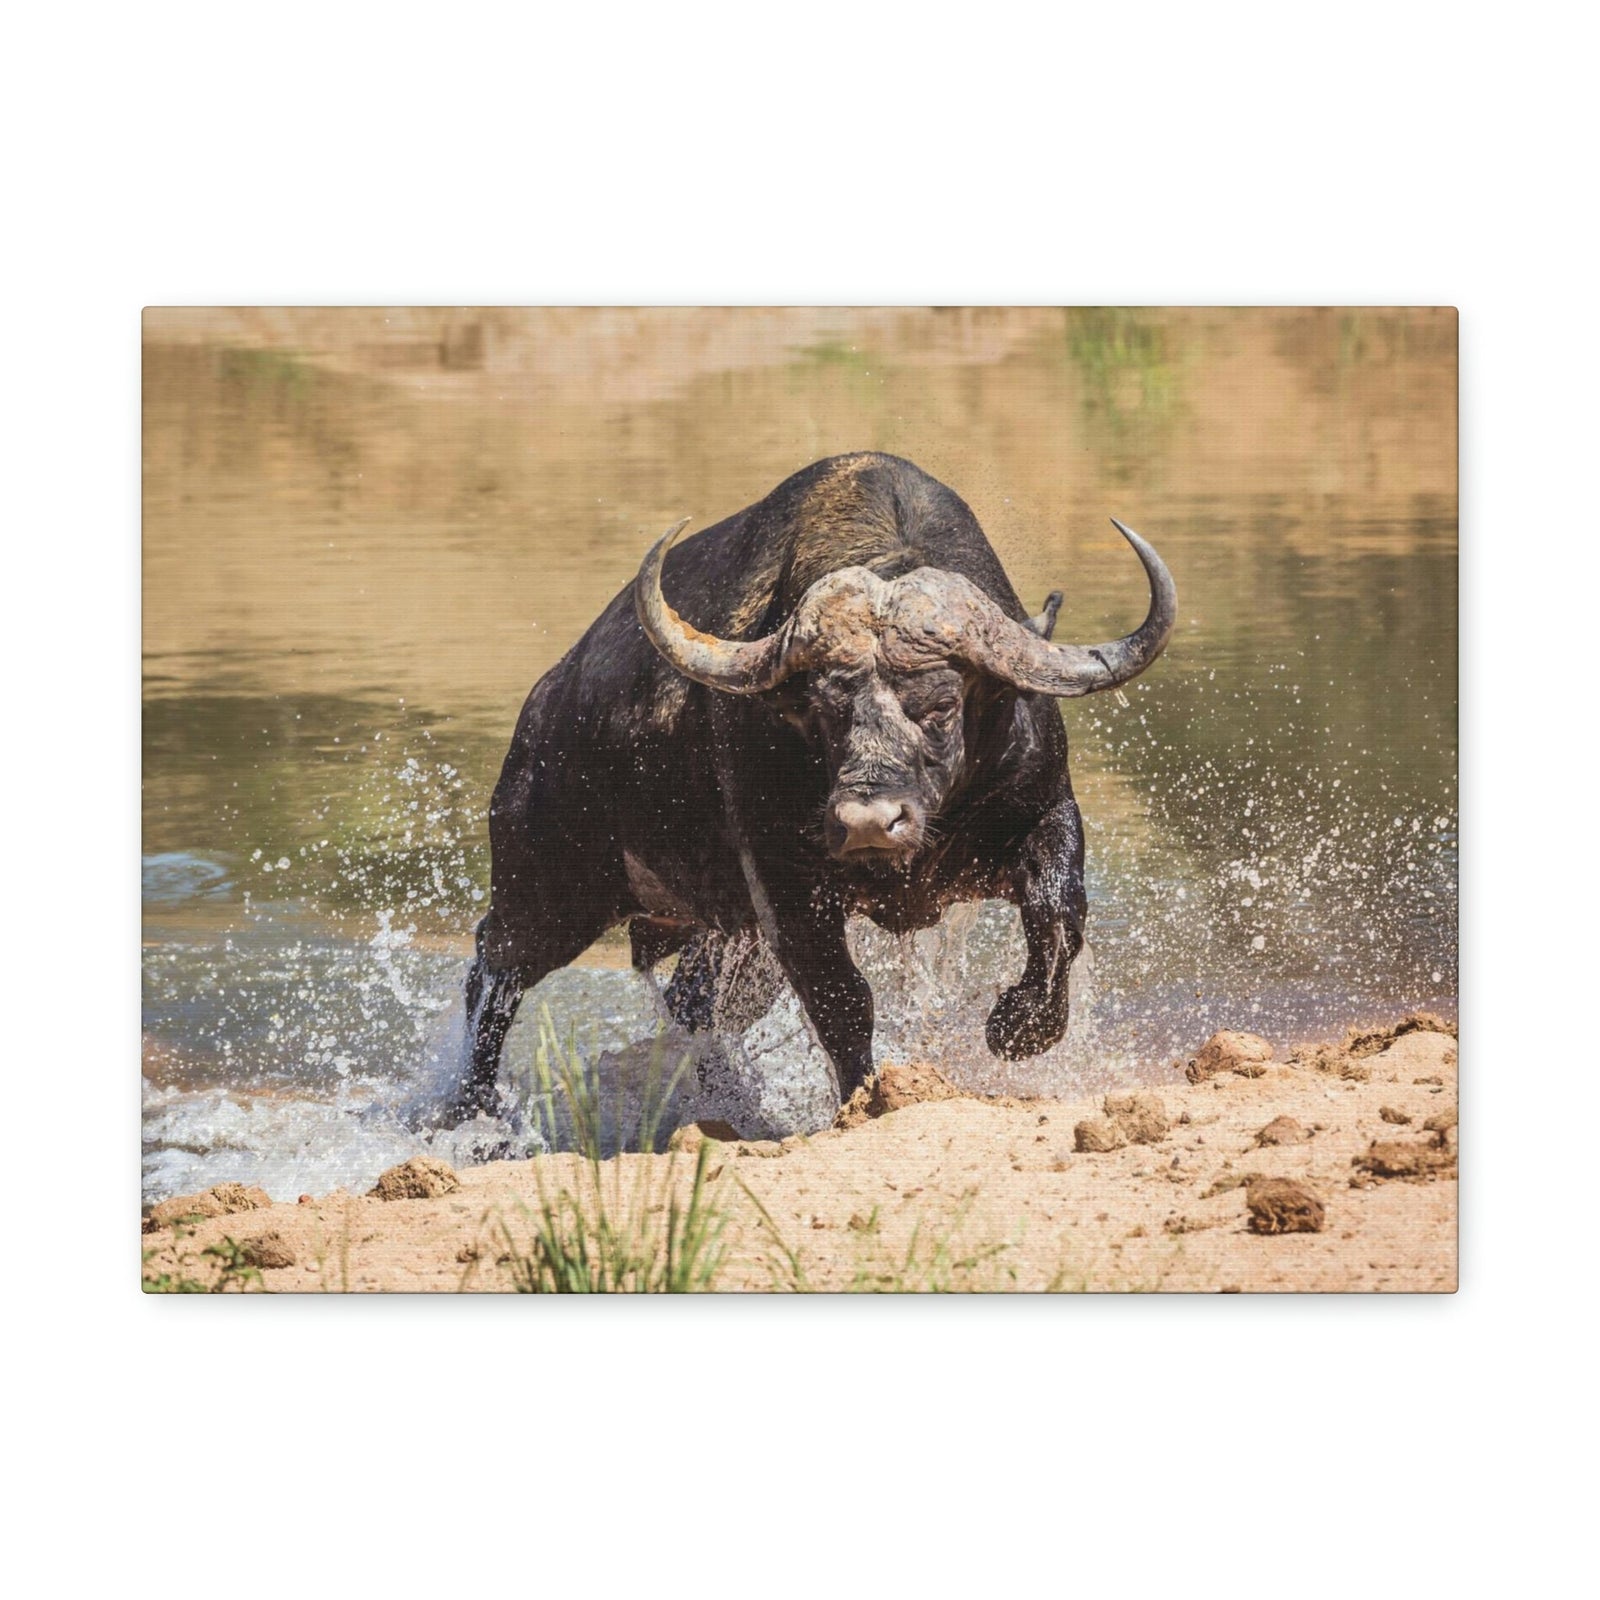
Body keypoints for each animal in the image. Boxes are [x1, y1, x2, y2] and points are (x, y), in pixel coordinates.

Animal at [450, 452, 1175, 1122]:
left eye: (942, 704)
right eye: (820, 711)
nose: (868, 822)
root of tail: (546, 703)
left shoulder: (1043, 811)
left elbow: (1058, 916)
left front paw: (1019, 1027)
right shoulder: (784, 883)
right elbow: (841, 999)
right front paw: (867, 1097)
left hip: (716, 933)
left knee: (694, 1004)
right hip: (550, 889)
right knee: (495, 971)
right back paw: (470, 1112)